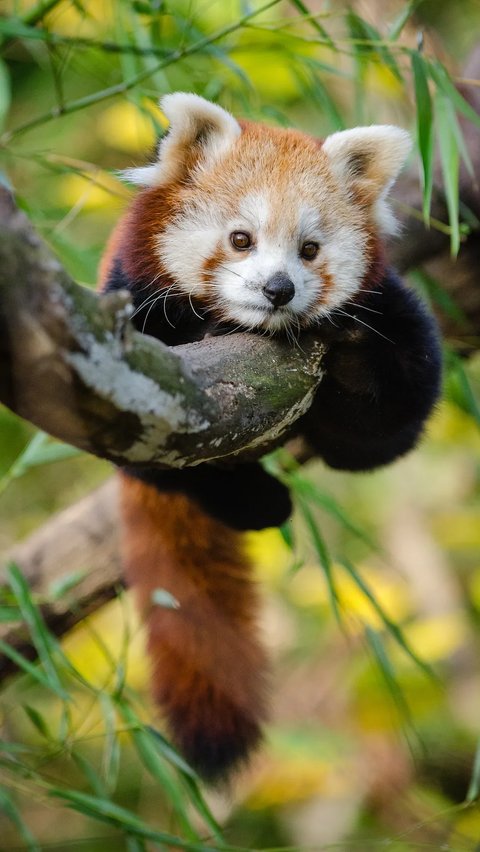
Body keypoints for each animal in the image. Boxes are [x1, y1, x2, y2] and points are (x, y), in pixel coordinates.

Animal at [101, 91, 442, 780]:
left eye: (310, 249)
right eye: (240, 239)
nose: (277, 289)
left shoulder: (393, 314)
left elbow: (390, 423)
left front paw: (351, 354)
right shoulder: (128, 304)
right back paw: (257, 502)